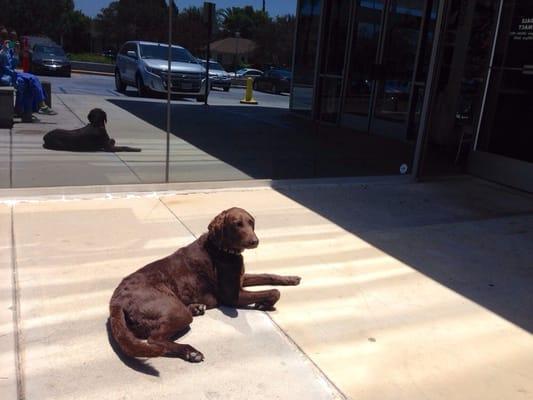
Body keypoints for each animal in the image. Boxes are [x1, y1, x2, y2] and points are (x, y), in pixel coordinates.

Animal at [109, 206, 300, 362]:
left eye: (251, 223)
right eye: (237, 224)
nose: (255, 241)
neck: (222, 248)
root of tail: (116, 299)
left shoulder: (241, 279)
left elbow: (269, 275)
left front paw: (291, 278)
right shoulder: (233, 297)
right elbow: (274, 291)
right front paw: (264, 303)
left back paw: (196, 307)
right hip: (175, 310)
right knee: (155, 339)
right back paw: (190, 352)